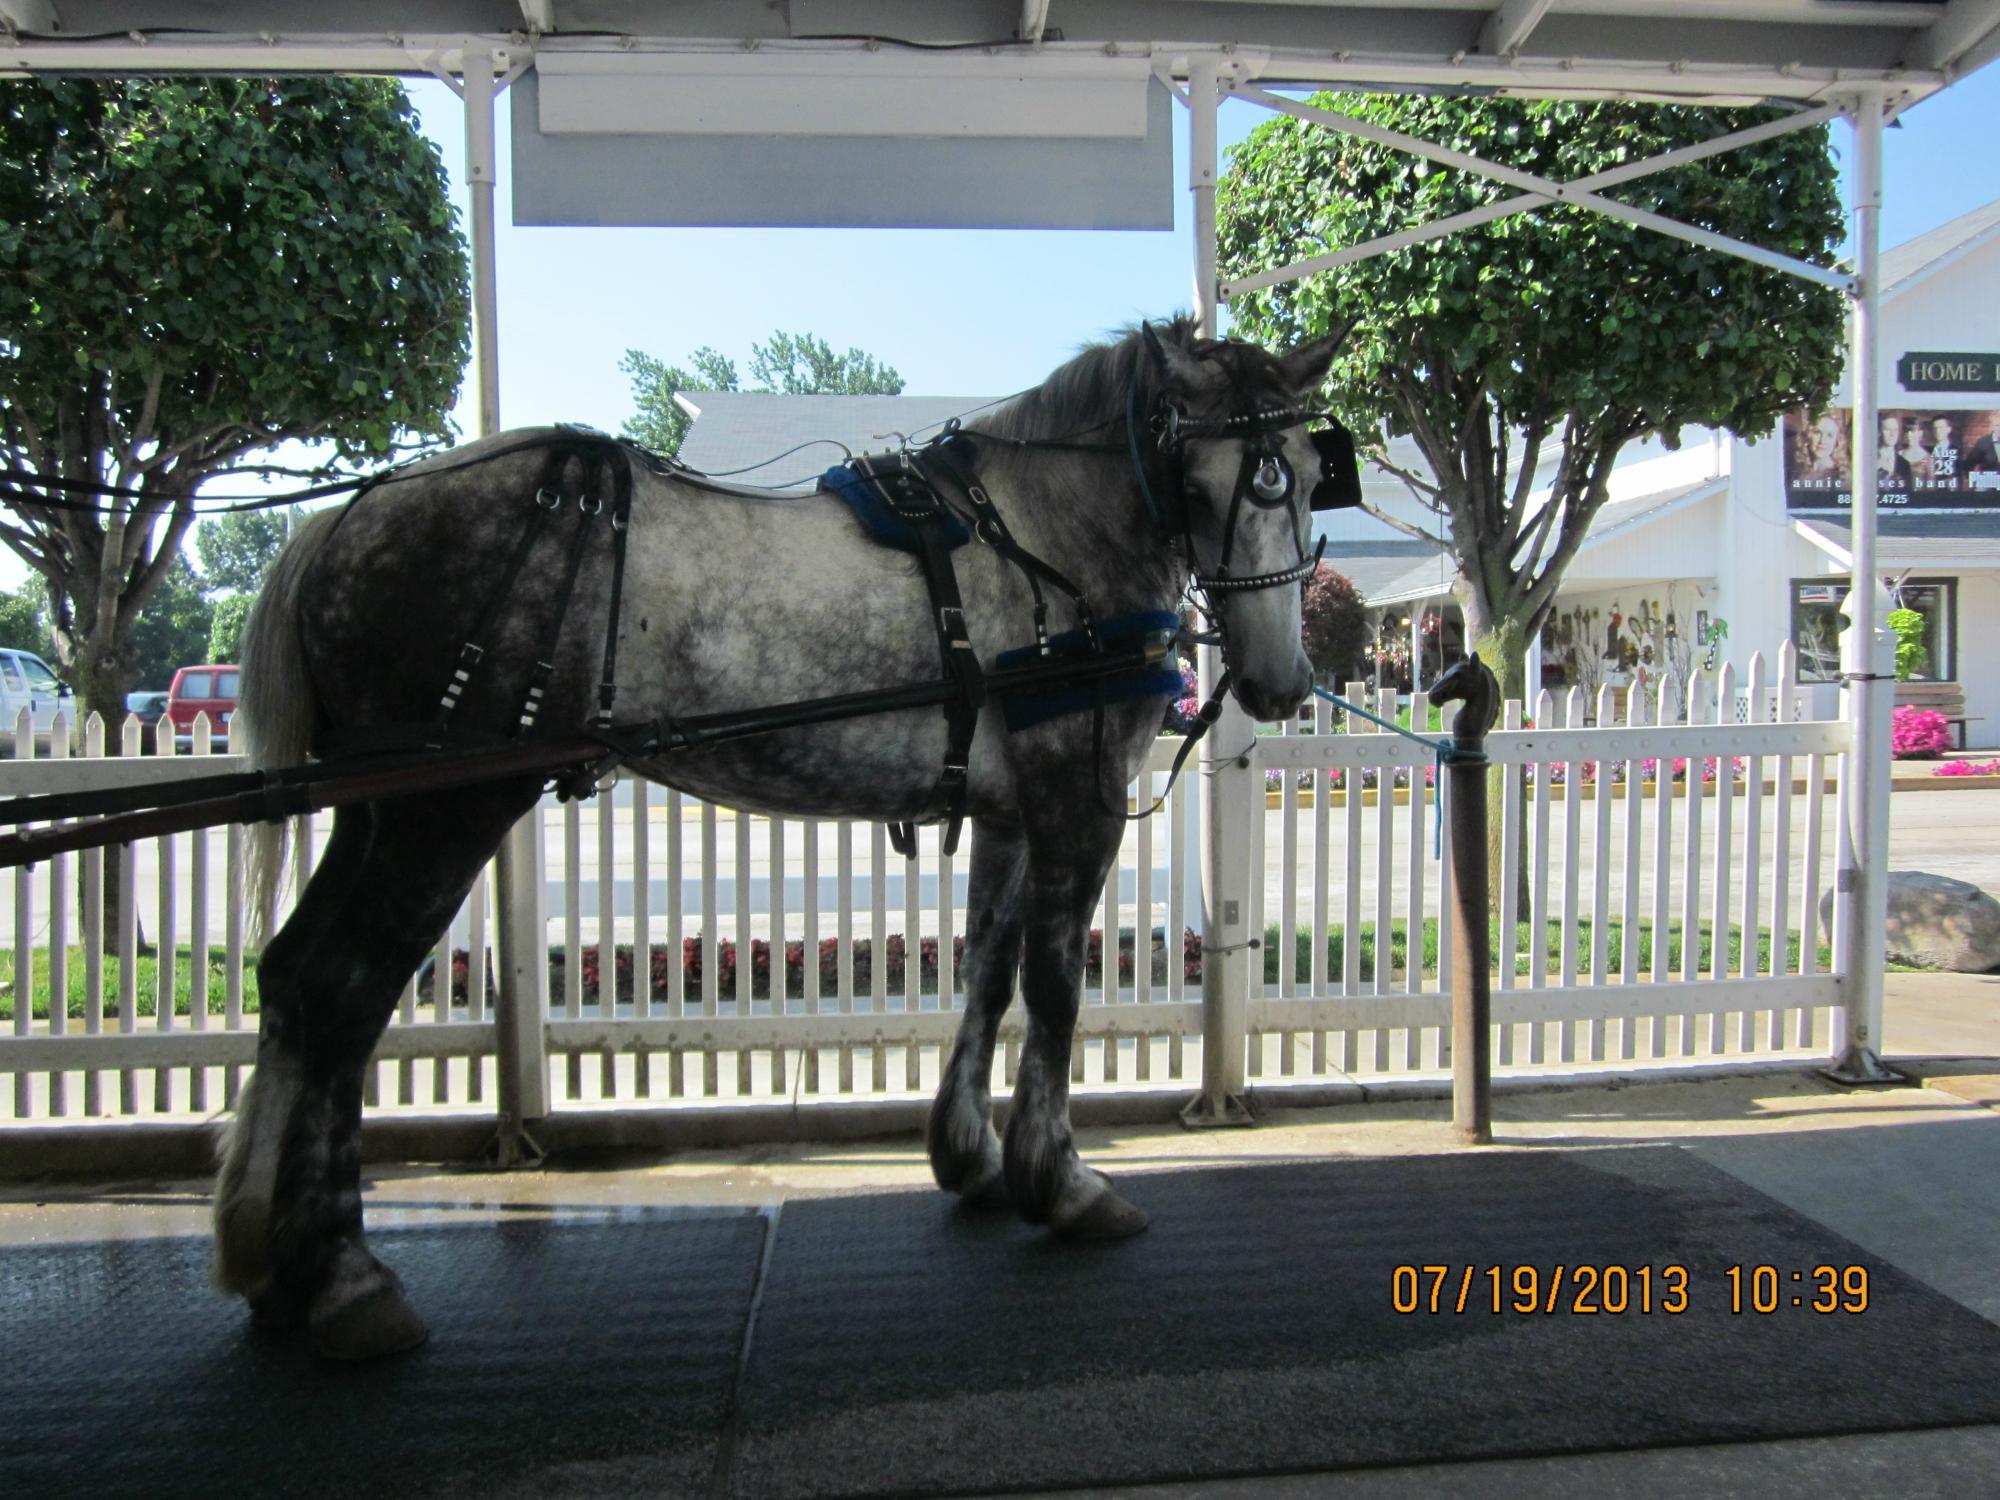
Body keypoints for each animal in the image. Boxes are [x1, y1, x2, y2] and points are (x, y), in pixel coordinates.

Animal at [219, 318, 1344, 1360]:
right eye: (1196, 483)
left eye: (1298, 478)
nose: (1277, 679)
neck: (1043, 541)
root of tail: (347, 519)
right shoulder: (1079, 792)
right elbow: (1055, 989)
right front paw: (1059, 1182)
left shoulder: (1006, 810)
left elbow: (985, 972)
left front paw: (969, 1156)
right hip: (444, 811)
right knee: (344, 992)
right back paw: (341, 1275)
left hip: (377, 809)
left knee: (294, 978)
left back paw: (267, 1258)